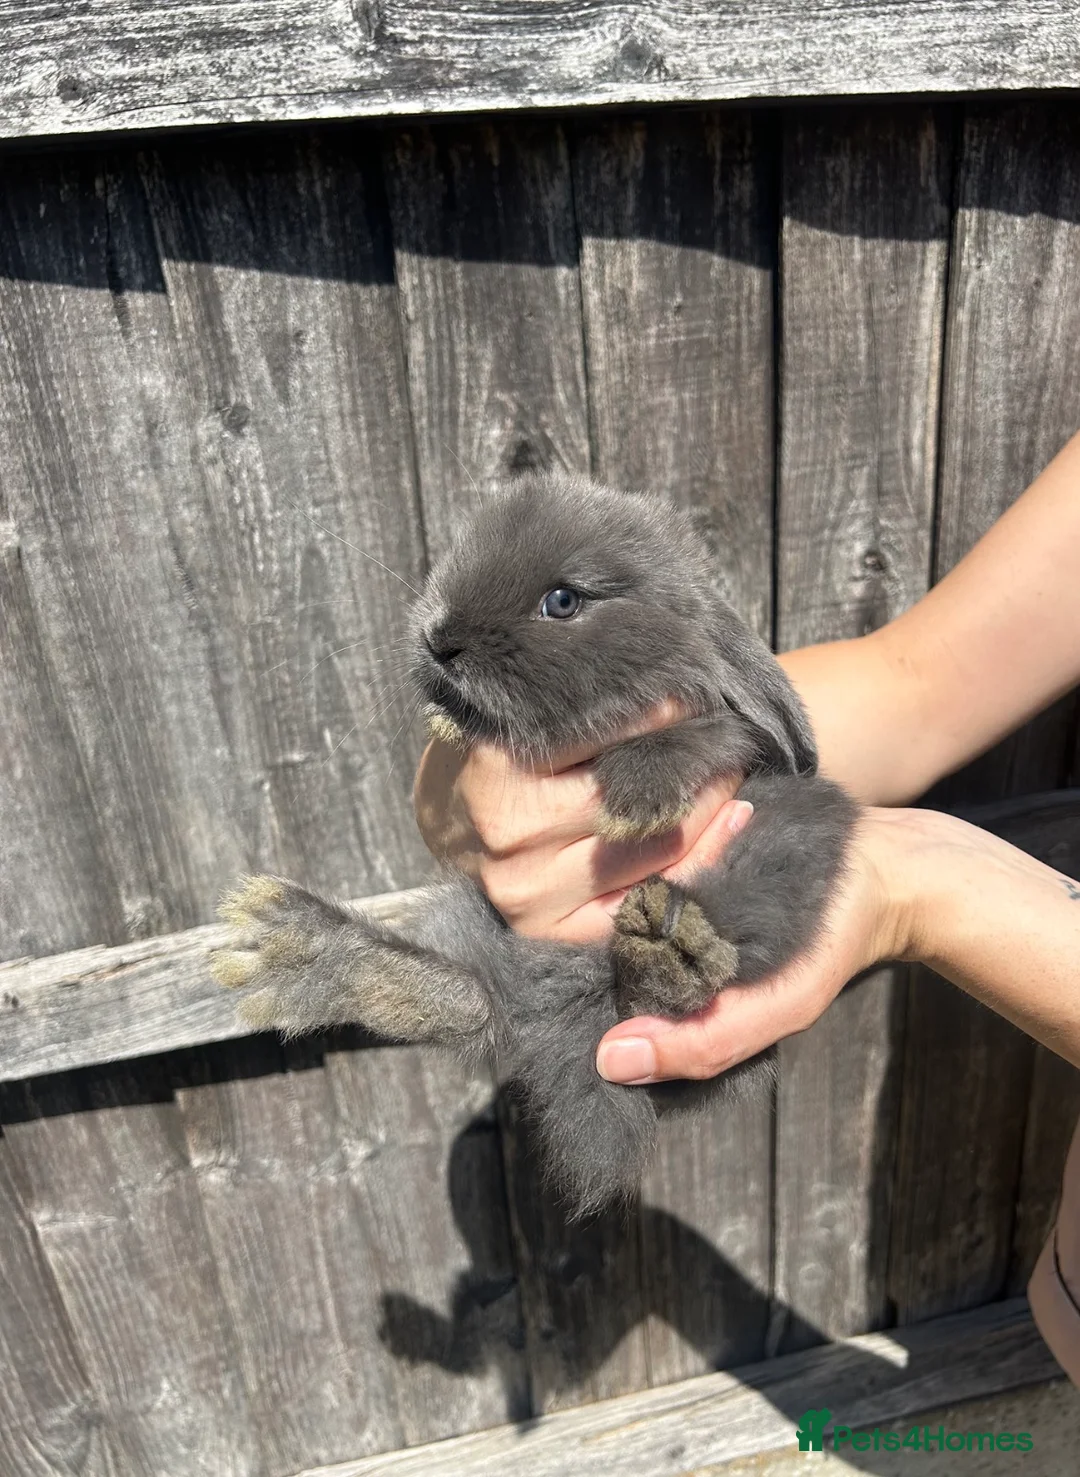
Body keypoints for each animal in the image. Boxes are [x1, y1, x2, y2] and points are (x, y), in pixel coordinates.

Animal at [210, 472, 856, 1216]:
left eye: (563, 600)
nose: (440, 639)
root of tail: (563, 1010)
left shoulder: (729, 741)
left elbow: (705, 735)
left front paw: (636, 799)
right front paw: (449, 720)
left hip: (791, 837)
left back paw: (669, 955)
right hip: (473, 919)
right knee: (473, 1001)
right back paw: (301, 949)